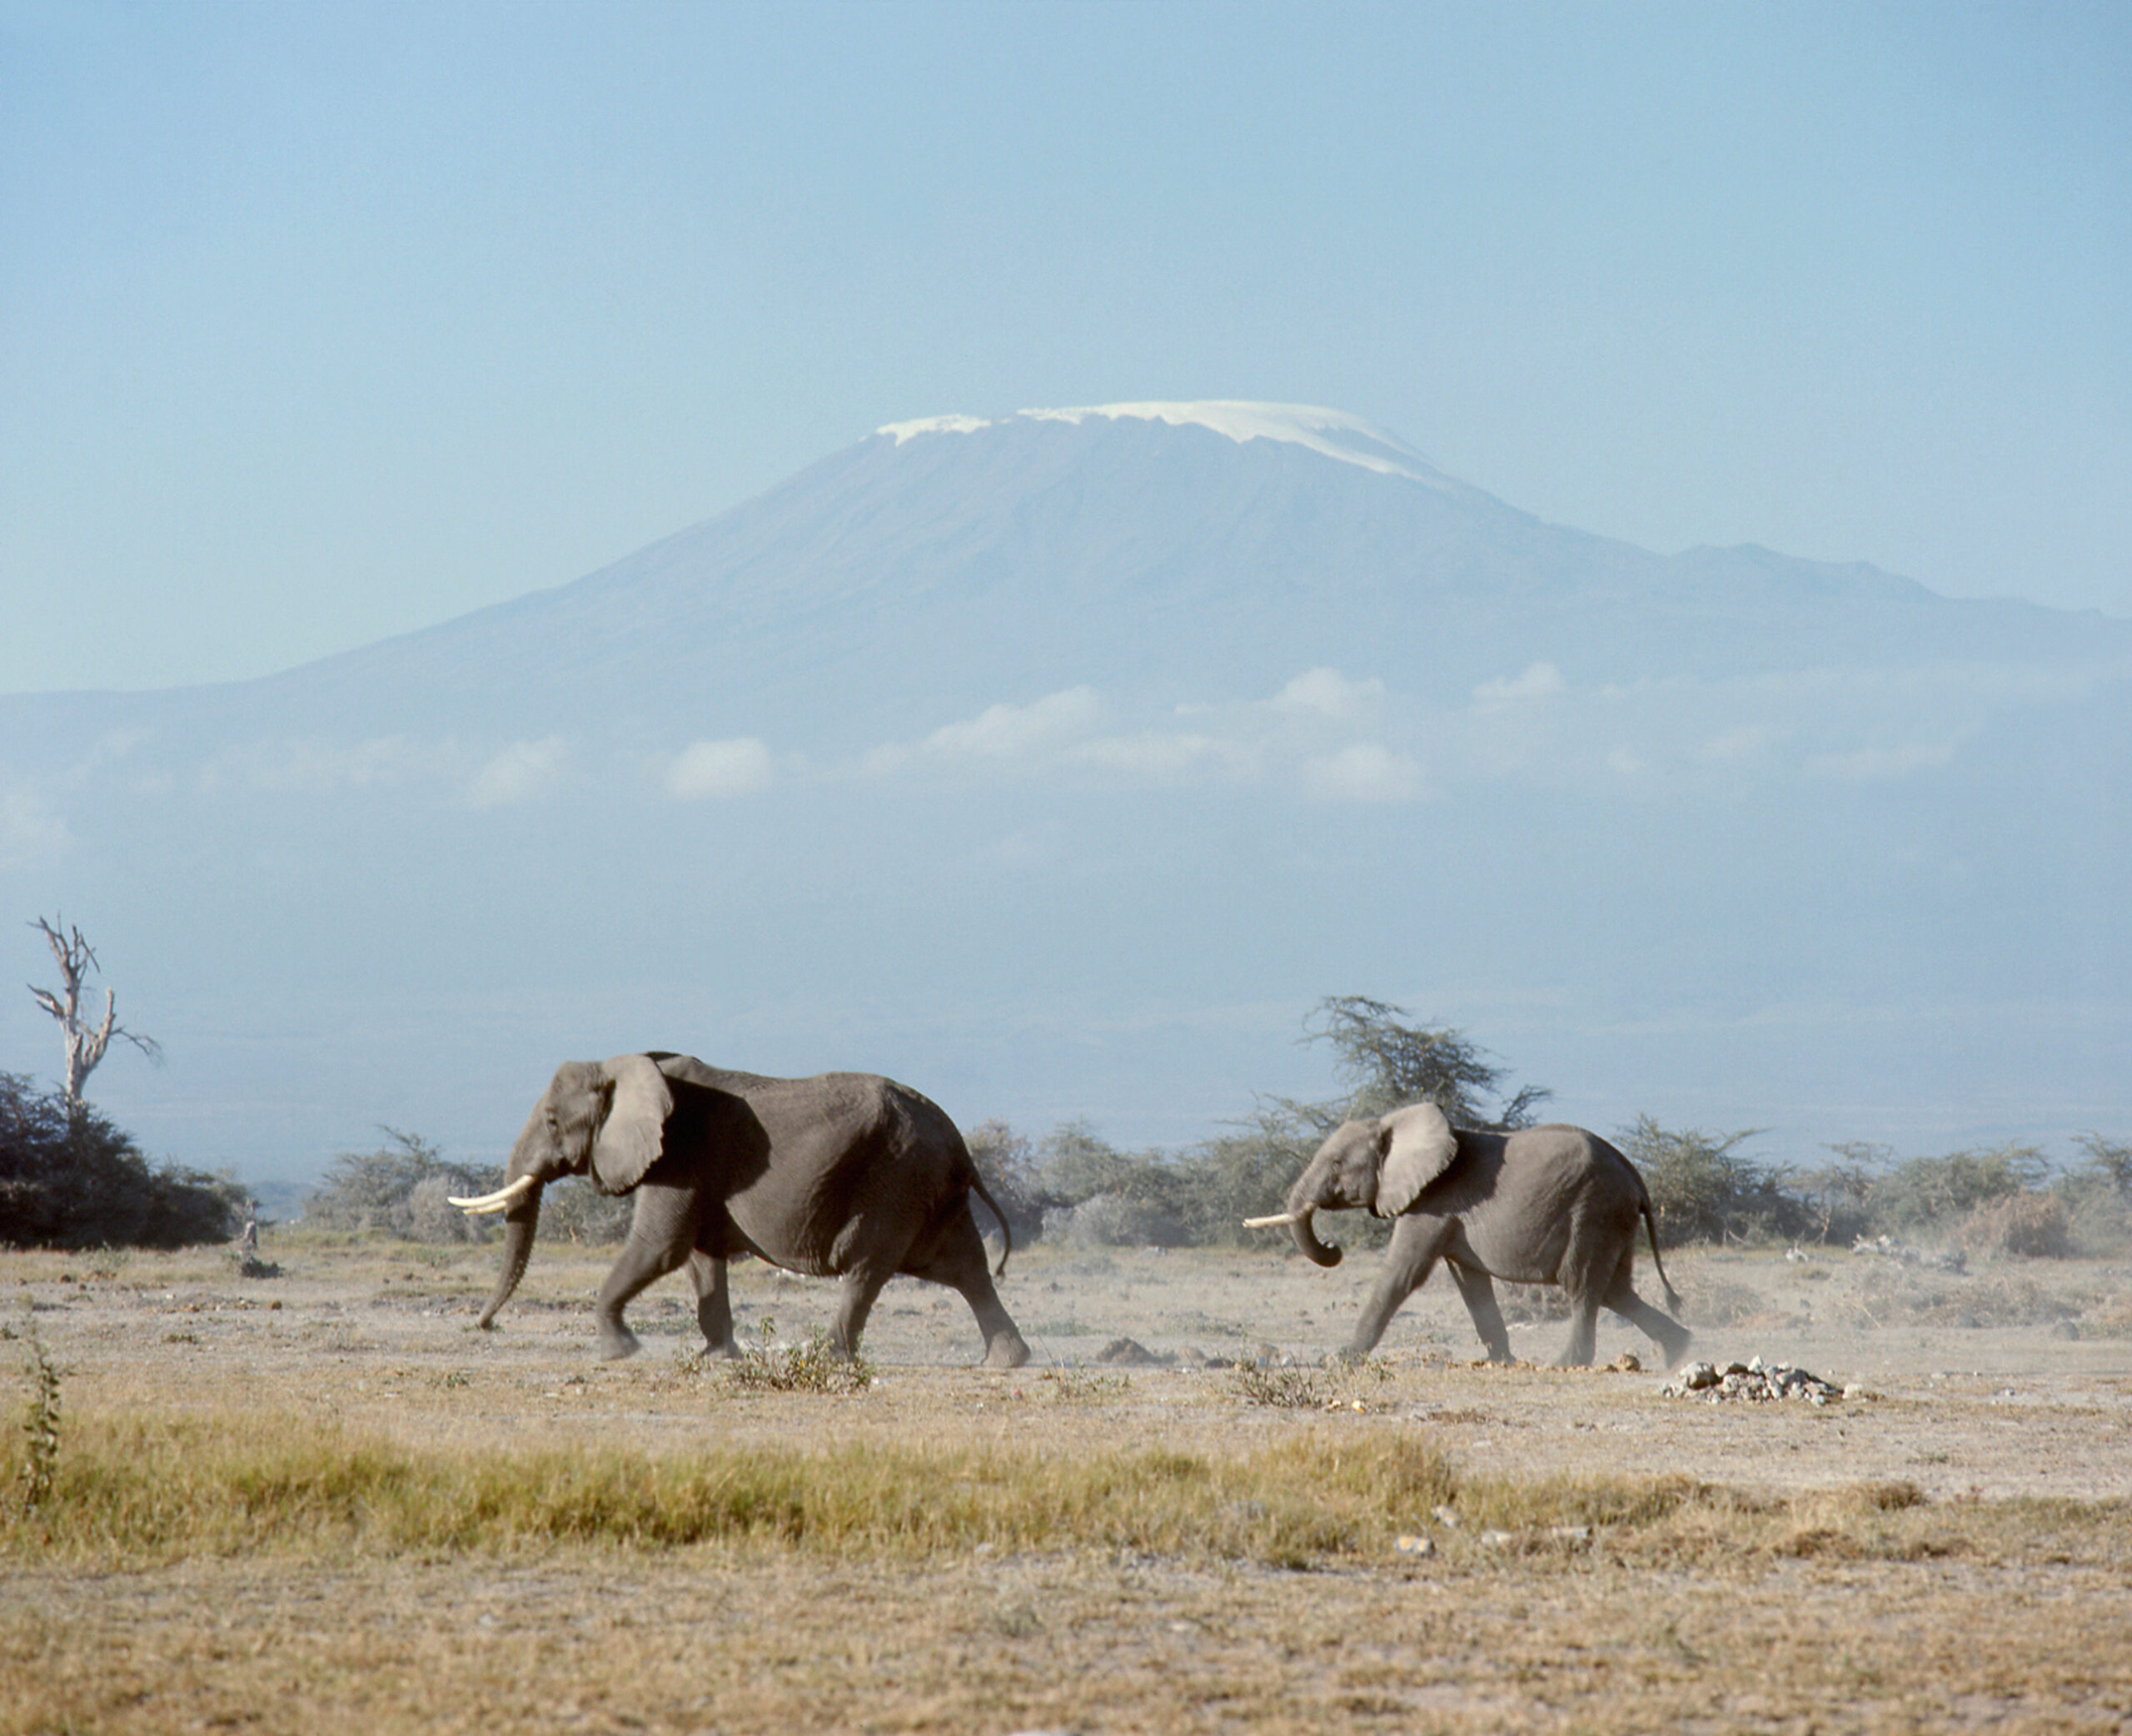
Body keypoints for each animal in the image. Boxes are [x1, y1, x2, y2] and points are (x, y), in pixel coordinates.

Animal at [450, 1052, 1029, 1368]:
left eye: (552, 1120)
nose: (485, 1326)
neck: (627, 1065)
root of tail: (959, 1143)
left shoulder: (681, 1153)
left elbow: (660, 1249)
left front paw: (620, 1352)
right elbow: (701, 1260)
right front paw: (716, 1359)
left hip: (896, 1180)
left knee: (867, 1268)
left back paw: (829, 1357)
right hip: (929, 1188)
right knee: (965, 1267)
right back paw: (1006, 1361)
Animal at [1246, 1102, 1690, 1368]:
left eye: (1337, 1163)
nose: (1331, 1247)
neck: (1395, 1123)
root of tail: (1634, 1173)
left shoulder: (1431, 1200)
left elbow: (1401, 1274)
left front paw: (1340, 1358)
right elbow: (1470, 1283)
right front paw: (1500, 1362)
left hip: (1594, 1208)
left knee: (1581, 1284)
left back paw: (1567, 1363)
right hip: (1614, 1216)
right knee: (1616, 1290)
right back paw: (1679, 1352)